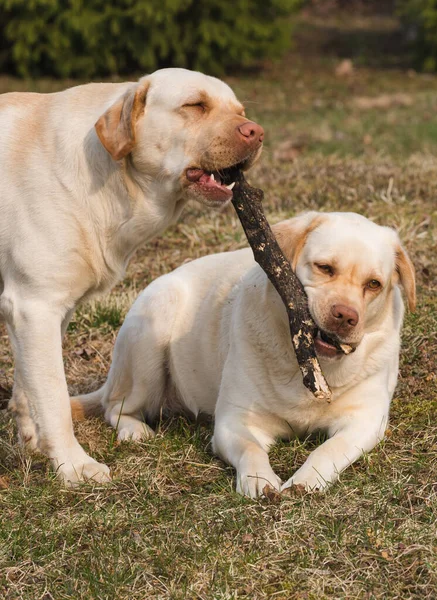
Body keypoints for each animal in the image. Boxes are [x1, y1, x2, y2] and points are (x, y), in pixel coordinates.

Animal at [0, 68, 262, 486]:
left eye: (239, 111)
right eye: (195, 105)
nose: (257, 132)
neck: (109, 175)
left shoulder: (42, 309)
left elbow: (29, 385)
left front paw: (33, 442)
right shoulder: (34, 304)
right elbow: (53, 394)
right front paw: (73, 466)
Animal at [72, 212, 416, 496]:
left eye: (374, 284)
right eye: (324, 268)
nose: (345, 316)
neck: (310, 363)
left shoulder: (365, 421)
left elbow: (329, 449)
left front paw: (306, 480)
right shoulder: (234, 421)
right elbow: (252, 449)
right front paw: (259, 481)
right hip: (153, 328)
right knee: (114, 405)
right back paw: (134, 430)